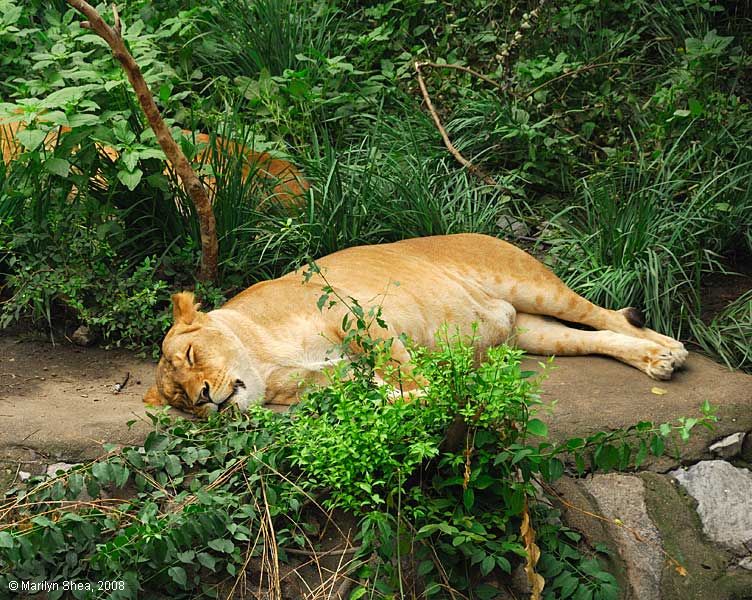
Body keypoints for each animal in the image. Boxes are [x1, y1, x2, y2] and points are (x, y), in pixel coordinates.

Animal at [143, 233, 688, 417]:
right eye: (179, 400)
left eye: (191, 355)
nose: (203, 398)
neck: (265, 364)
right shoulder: (333, 380)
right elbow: (385, 393)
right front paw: (430, 396)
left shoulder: (353, 313)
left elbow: (404, 368)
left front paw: (444, 390)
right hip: (529, 332)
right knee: (596, 337)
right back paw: (654, 360)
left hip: (530, 285)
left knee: (608, 314)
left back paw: (671, 350)